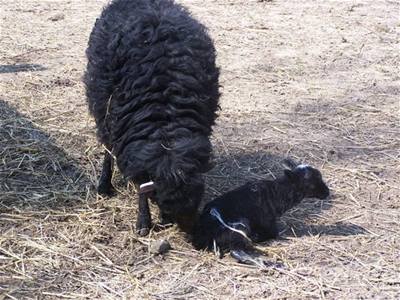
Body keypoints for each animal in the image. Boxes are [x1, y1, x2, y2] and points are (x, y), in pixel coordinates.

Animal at [83, 0, 219, 234]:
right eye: (161, 202)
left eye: (198, 200)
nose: (191, 230)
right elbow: (140, 186)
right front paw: (143, 223)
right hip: (103, 114)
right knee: (108, 149)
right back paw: (104, 185)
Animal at [192, 161, 330, 266]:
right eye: (310, 183)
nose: (327, 192)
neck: (275, 194)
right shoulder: (269, 225)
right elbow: (272, 234)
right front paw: (256, 238)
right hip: (240, 226)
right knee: (236, 251)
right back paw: (270, 263)